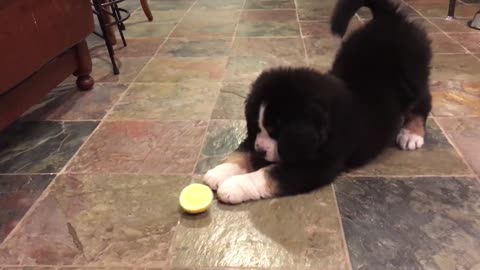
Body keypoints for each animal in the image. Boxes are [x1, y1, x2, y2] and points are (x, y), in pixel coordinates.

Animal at [202, 0, 432, 204]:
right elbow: (244, 152)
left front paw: (234, 185)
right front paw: (220, 171)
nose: (260, 150)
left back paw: (411, 134)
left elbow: (269, 174)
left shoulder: (317, 165)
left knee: (423, 102)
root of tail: (390, 18)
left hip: (413, 79)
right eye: (258, 127)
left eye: (276, 130)